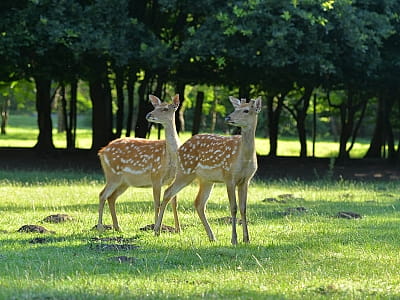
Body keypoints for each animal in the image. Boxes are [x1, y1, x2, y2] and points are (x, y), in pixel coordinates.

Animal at [96, 94, 180, 232]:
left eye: (165, 108)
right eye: (155, 107)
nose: (149, 114)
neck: (170, 158)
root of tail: (101, 152)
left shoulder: (172, 179)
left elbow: (173, 203)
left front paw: (178, 229)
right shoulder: (155, 175)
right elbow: (157, 203)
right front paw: (156, 228)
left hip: (124, 182)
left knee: (111, 197)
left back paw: (117, 227)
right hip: (113, 175)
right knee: (102, 195)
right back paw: (100, 227)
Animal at [154, 96, 262, 244]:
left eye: (246, 110)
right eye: (235, 108)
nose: (228, 117)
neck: (244, 159)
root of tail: (179, 149)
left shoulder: (246, 180)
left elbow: (243, 208)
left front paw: (247, 239)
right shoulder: (229, 176)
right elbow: (233, 207)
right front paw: (234, 239)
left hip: (206, 180)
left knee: (198, 203)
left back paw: (212, 237)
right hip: (185, 172)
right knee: (168, 193)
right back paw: (157, 230)